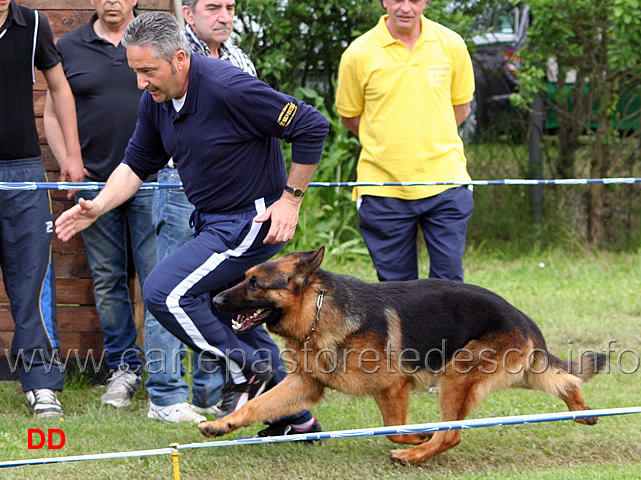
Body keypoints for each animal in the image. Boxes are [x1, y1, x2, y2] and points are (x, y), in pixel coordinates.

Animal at [199, 246, 604, 464]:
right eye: (245, 277)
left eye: (255, 284)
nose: (215, 300)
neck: (318, 310)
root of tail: (521, 317)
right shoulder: (305, 384)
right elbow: (256, 405)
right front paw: (222, 425)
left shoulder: (392, 387)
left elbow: (395, 431)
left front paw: (415, 440)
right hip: (514, 373)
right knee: (562, 380)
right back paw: (583, 411)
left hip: (458, 376)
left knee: (451, 434)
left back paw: (415, 455)